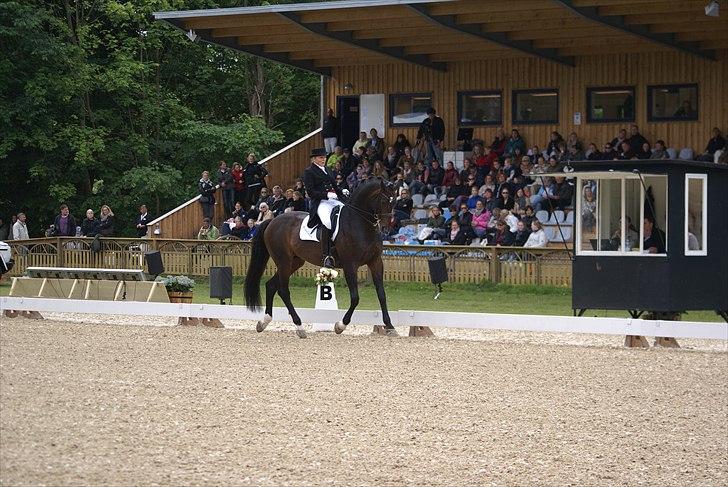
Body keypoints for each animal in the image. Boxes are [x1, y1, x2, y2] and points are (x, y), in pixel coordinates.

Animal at [245, 179, 396, 340]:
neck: (360, 223)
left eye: (393, 202)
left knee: (271, 286)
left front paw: (390, 326)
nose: (386, 229)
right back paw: (299, 327)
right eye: (384, 201)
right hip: (283, 261)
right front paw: (340, 325)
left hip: (294, 262)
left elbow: (382, 294)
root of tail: (272, 221)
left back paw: (264, 322)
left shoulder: (375, 262)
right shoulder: (350, 265)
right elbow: (355, 298)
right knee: (283, 291)